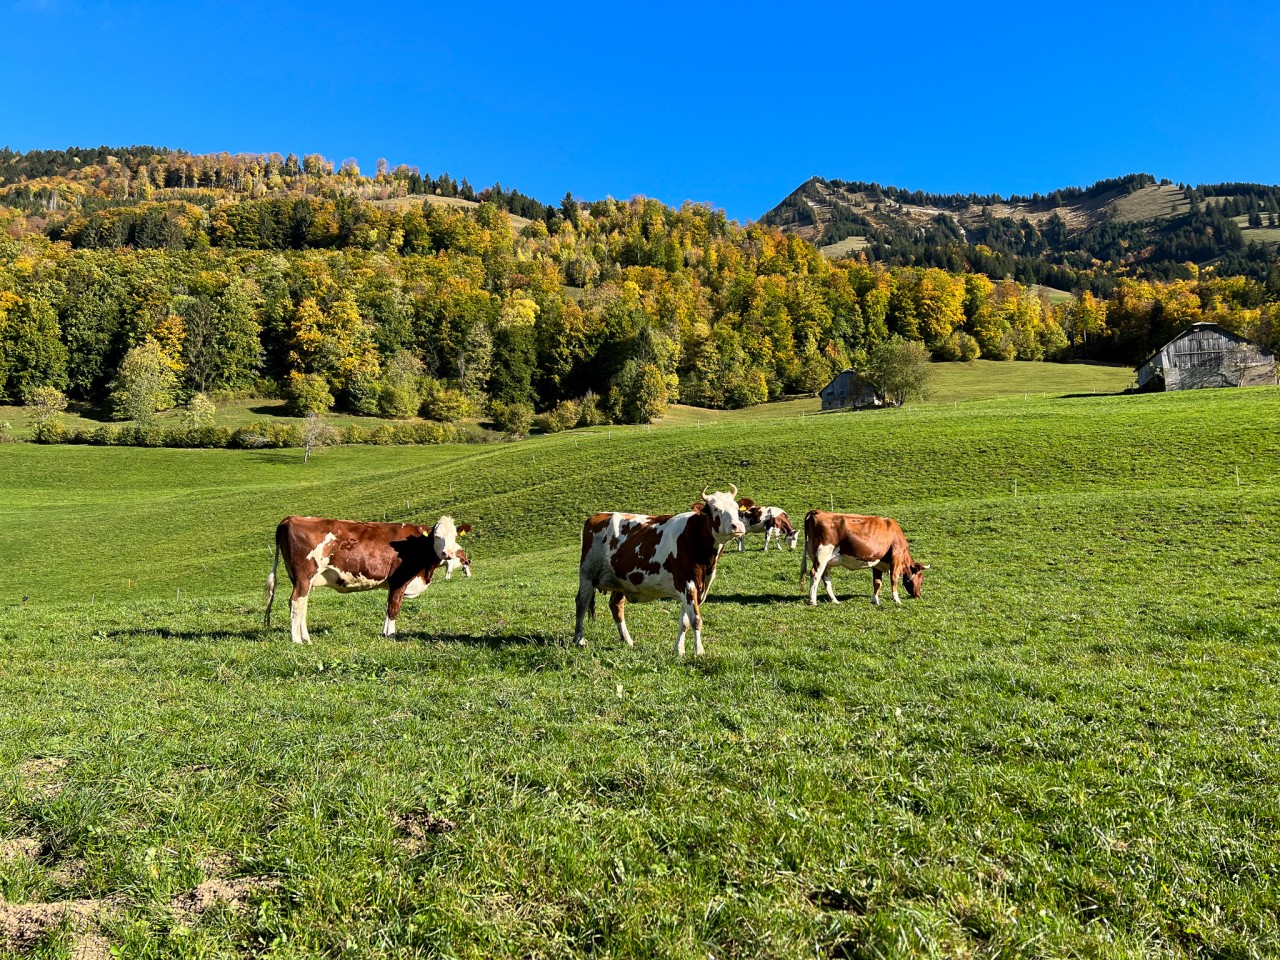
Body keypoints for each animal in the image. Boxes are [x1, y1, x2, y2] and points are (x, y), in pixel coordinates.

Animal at [262, 514, 473, 642]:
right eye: (437, 536)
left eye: (454, 536)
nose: (447, 553)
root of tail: (290, 518)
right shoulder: (399, 580)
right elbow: (393, 609)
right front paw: (391, 635)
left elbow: (388, 608)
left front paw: (385, 633)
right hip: (304, 576)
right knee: (295, 602)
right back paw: (297, 640)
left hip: (303, 580)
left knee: (302, 605)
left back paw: (306, 638)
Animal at [576, 483, 747, 660]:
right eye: (715, 509)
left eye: (737, 509)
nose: (738, 526)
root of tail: (598, 516)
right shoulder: (687, 582)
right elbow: (695, 620)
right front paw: (699, 651)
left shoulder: (699, 586)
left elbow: (684, 621)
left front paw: (679, 650)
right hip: (587, 574)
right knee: (581, 603)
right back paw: (579, 639)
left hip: (621, 580)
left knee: (615, 605)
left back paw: (627, 640)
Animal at [793, 512, 926, 609]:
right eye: (921, 577)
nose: (919, 595)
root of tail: (817, 511)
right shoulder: (896, 558)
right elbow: (894, 579)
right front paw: (896, 599)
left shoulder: (877, 563)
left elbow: (877, 582)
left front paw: (875, 600)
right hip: (822, 555)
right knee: (815, 574)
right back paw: (812, 601)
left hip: (824, 561)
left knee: (826, 579)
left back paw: (835, 600)